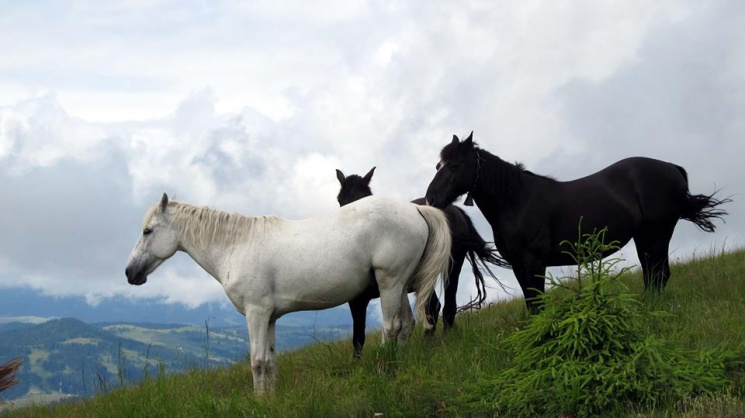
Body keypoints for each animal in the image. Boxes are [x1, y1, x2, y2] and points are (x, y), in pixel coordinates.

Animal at [125, 193, 450, 392]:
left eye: (147, 231)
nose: (130, 273)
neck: (236, 245)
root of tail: (415, 208)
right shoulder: (269, 317)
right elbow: (269, 360)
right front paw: (269, 398)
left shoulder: (256, 313)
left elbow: (256, 361)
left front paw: (258, 401)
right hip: (399, 285)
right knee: (406, 325)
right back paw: (398, 367)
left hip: (389, 283)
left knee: (391, 327)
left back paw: (383, 371)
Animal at [336, 168, 506, 358]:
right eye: (340, 200)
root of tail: (455, 210)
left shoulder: (358, 299)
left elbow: (359, 337)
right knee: (434, 306)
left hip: (450, 268)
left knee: (446, 306)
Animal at [424, 132, 728, 312]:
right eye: (438, 165)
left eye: (455, 165)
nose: (430, 198)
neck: (517, 201)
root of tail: (672, 167)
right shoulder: (519, 265)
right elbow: (531, 302)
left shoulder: (534, 262)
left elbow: (538, 301)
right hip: (644, 237)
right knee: (653, 275)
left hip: (658, 234)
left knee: (659, 274)